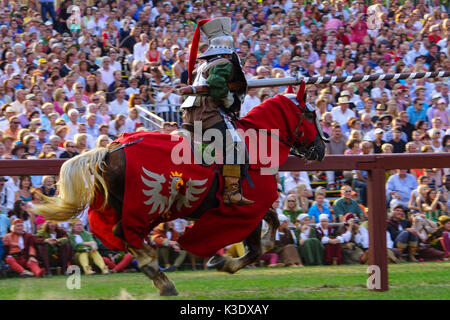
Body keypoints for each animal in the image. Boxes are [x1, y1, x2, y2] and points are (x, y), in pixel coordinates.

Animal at [35, 82, 328, 296]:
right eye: (311, 114)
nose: (322, 148)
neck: (258, 145)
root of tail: (110, 151)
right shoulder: (246, 211)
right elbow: (256, 247)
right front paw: (222, 262)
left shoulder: (255, 208)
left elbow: (273, 226)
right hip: (147, 208)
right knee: (126, 234)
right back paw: (159, 276)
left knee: (122, 236)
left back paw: (157, 276)